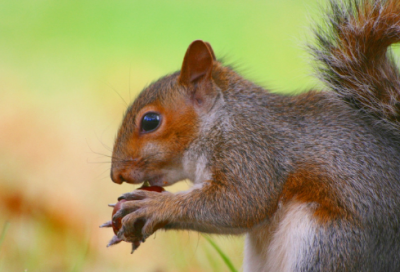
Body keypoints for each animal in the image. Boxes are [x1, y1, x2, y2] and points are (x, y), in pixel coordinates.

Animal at [102, 0, 400, 270]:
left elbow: (241, 203)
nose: (116, 176)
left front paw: (154, 206)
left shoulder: (253, 151)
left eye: (150, 121)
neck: (222, 119)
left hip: (327, 242)